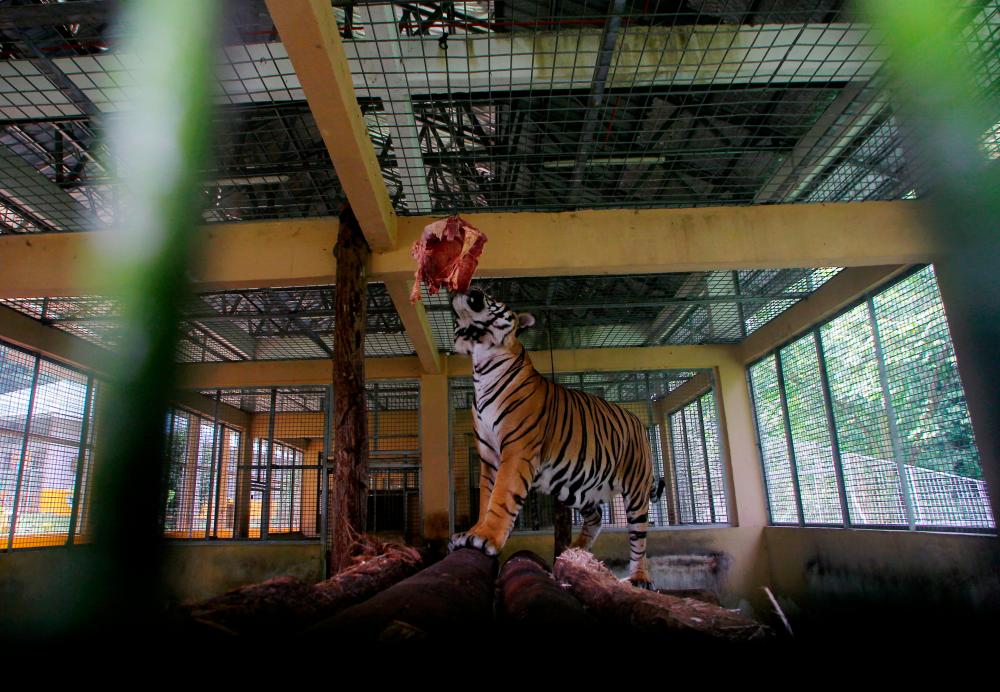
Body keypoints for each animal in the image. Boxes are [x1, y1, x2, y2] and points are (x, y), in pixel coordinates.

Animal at [452, 286, 668, 588]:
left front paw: (485, 537)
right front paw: (474, 531)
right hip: (578, 487)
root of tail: (637, 419)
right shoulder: (488, 455)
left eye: (491, 296)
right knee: (597, 518)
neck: (482, 365)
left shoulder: (516, 450)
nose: (471, 289)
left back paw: (639, 577)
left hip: (635, 487)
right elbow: (486, 497)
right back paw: (572, 550)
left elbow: (502, 496)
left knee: (638, 536)